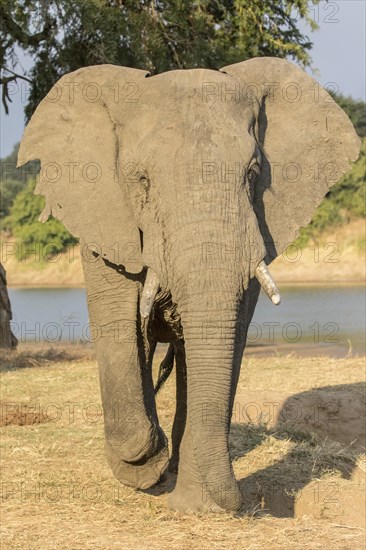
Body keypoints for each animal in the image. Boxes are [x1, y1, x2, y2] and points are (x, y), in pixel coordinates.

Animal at [17, 58, 360, 516]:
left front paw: (197, 508)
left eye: (253, 174)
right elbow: (121, 331)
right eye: (141, 179)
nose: (254, 503)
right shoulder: (105, 225)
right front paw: (145, 464)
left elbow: (225, 342)